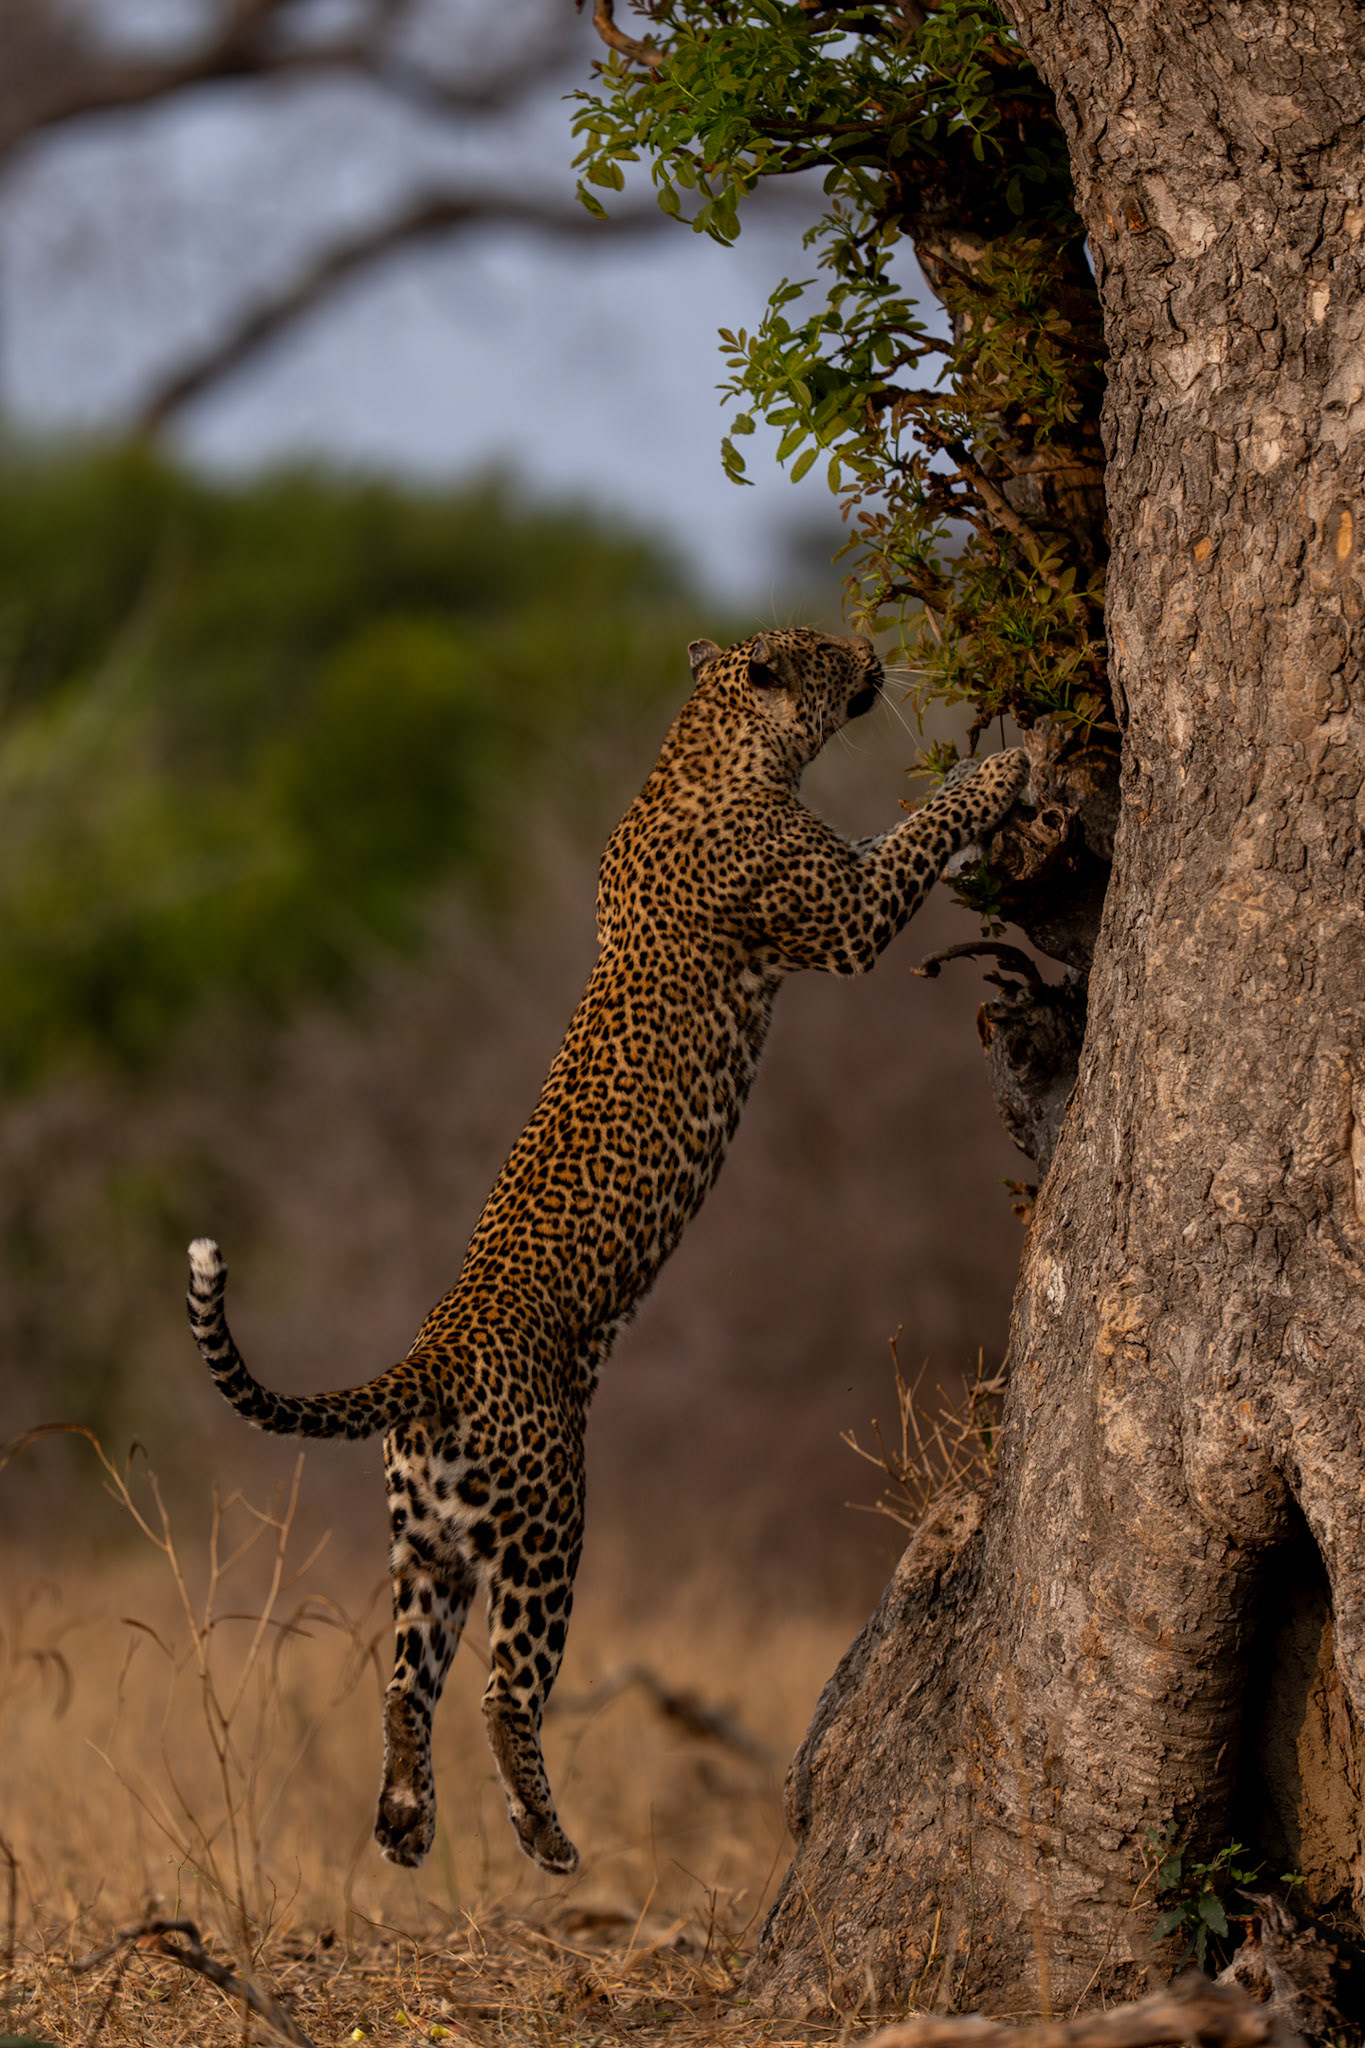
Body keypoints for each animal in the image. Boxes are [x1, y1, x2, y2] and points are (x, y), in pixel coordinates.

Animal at [186, 625, 1028, 1877]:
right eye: (826, 650)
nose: (873, 651)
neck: (710, 744)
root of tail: (429, 1355)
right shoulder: (841, 915)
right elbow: (909, 838)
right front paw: (1000, 773)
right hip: (549, 1518)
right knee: (504, 1691)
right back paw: (545, 1836)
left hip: (427, 1545)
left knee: (402, 1683)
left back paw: (403, 1820)